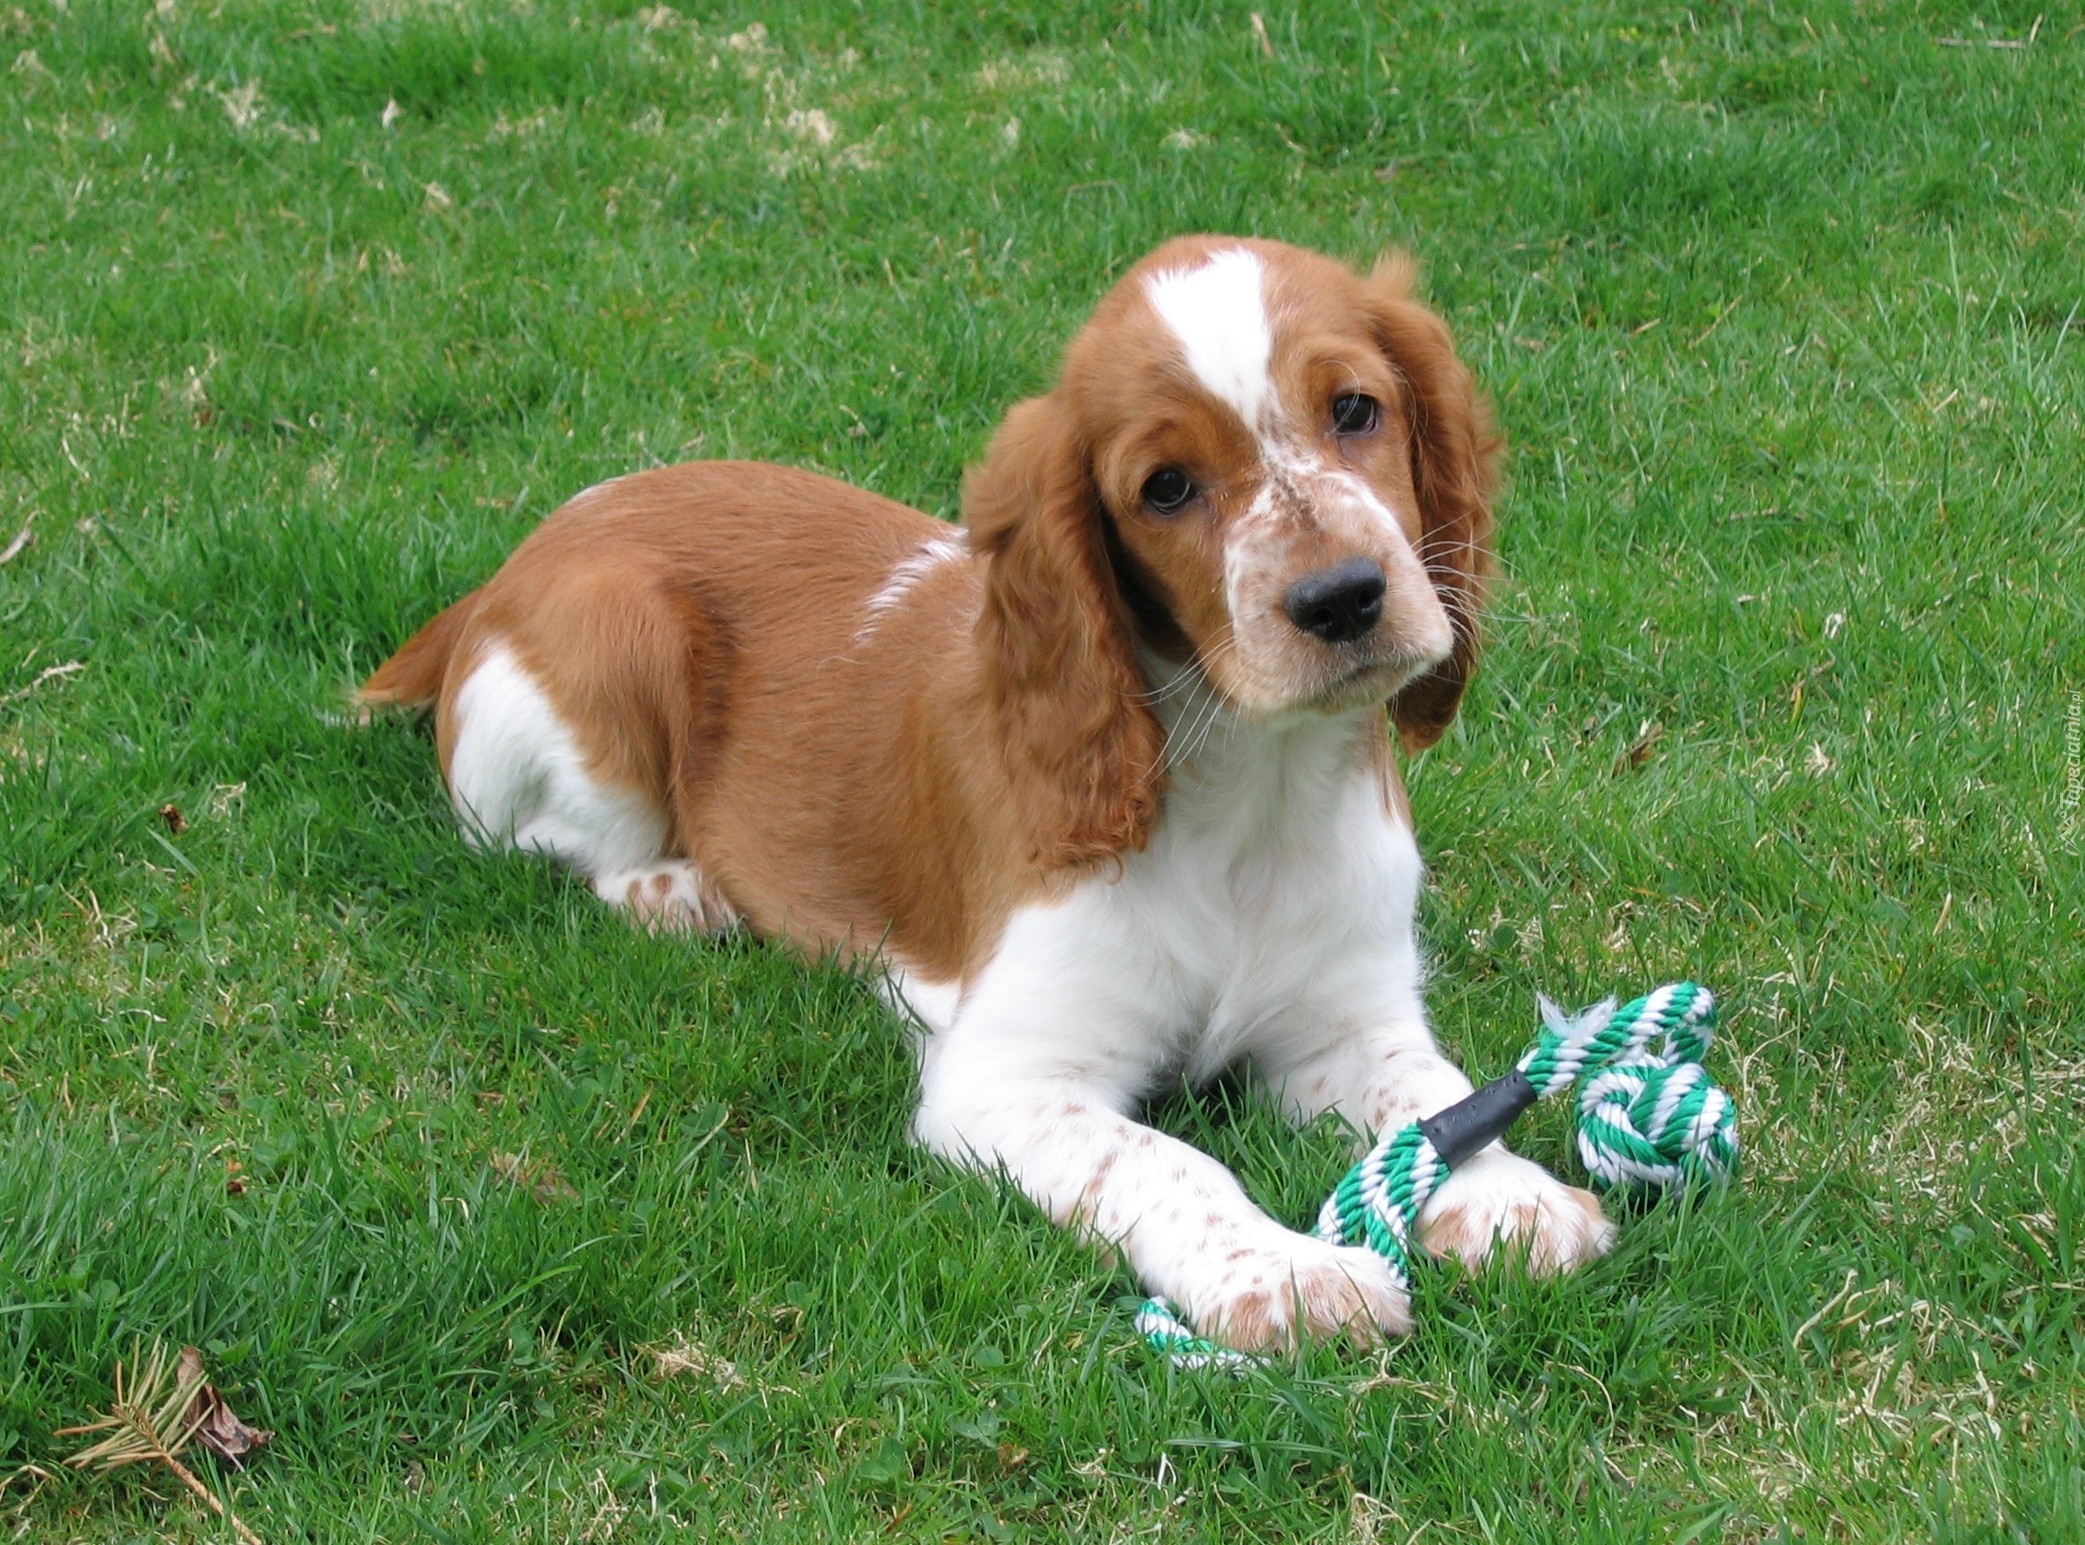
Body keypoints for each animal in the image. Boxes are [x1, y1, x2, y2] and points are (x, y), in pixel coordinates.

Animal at [362, 234, 1609, 1342]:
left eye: (1355, 410)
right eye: (1165, 488)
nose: (1343, 598)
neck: (1256, 790)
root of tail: (511, 569)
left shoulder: (1346, 1017)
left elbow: (1432, 1095)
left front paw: (1509, 1195)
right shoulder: (1008, 1078)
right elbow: (1166, 1160)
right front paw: (1288, 1277)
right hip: (615, 648)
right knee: (536, 841)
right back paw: (675, 892)